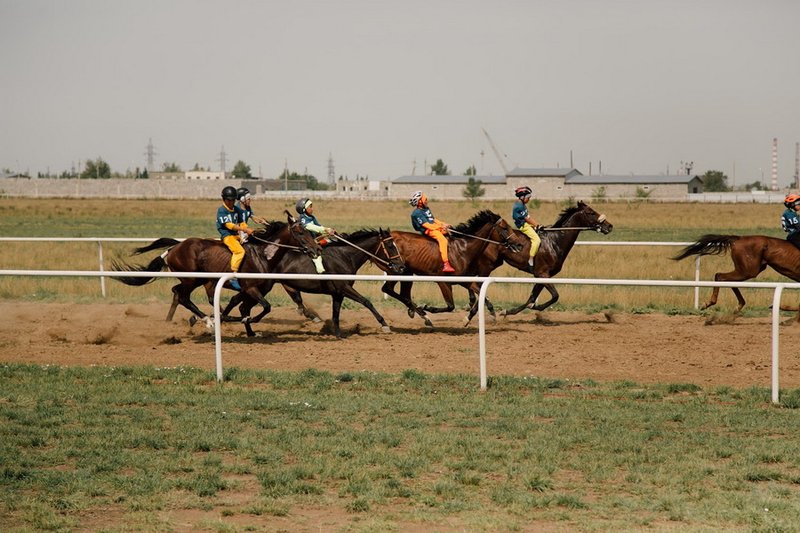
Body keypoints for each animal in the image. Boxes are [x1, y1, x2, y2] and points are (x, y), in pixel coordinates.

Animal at [110, 211, 322, 326]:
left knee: (180, 294)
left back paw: (173, 321)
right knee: (181, 294)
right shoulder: (251, 288)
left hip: (202, 280)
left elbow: (240, 304)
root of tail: (174, 248)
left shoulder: (252, 289)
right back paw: (206, 320)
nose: (317, 249)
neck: (264, 255)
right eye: (300, 232)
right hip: (192, 279)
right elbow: (266, 307)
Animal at [223, 228, 404, 336]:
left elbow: (336, 313)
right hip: (262, 286)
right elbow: (366, 302)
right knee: (243, 305)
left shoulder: (337, 293)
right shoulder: (344, 287)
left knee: (239, 304)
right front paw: (384, 325)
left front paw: (337, 333)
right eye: (390, 245)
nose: (401, 267)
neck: (345, 255)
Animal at [378, 210, 520, 326]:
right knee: (388, 289)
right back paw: (421, 314)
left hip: (406, 272)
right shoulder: (443, 281)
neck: (463, 250)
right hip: (395, 270)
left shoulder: (464, 280)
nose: (519, 244)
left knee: (402, 293)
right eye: (505, 228)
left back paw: (414, 311)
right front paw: (427, 307)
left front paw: (489, 314)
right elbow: (451, 306)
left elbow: (481, 294)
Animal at [672, 234, 800, 312]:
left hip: (750, 269)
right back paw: (710, 303)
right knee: (720, 276)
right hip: (748, 270)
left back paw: (739, 305)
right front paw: (778, 306)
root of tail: (738, 239)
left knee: (728, 280)